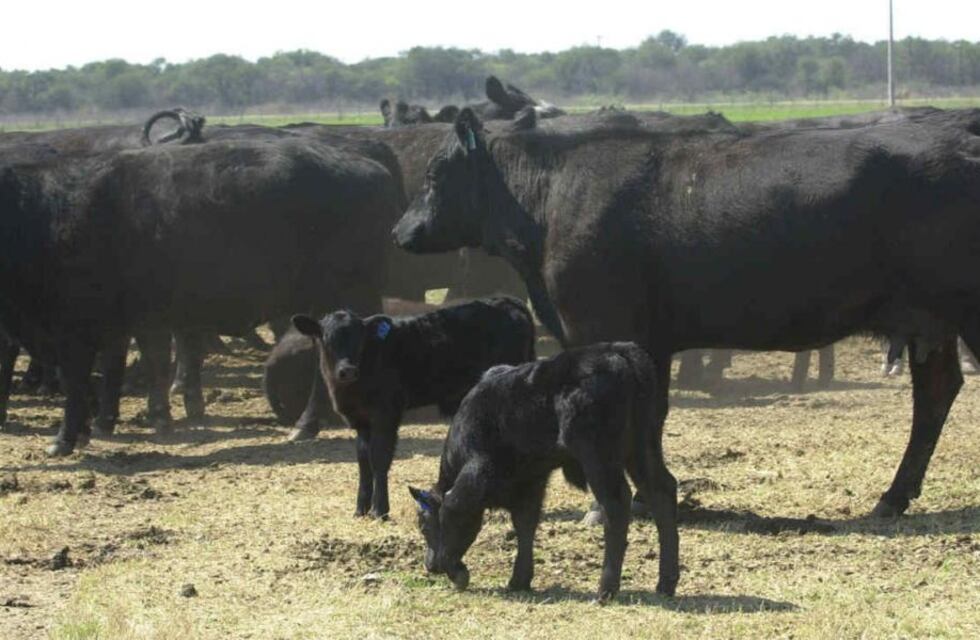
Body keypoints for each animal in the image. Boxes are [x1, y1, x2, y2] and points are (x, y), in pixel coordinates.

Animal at [291, 297, 536, 519]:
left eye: (359, 339)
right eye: (326, 339)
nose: (347, 370)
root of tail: (505, 301)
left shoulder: (386, 414)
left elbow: (379, 458)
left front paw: (379, 510)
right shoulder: (360, 421)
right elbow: (363, 462)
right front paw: (360, 510)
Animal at [393, 105, 980, 518]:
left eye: (435, 174)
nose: (399, 232)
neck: (550, 197)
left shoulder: (598, 327)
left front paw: (607, 504)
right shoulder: (648, 341)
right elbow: (652, 417)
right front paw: (650, 495)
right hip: (927, 322)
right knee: (935, 392)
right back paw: (892, 497)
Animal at [408, 342, 679, 600]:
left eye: (423, 526)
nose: (430, 566)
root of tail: (618, 351)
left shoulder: (477, 471)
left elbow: (453, 508)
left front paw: (457, 572)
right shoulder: (531, 481)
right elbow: (525, 525)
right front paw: (519, 579)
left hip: (598, 455)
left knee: (616, 503)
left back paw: (605, 590)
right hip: (644, 446)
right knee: (662, 491)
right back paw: (666, 583)